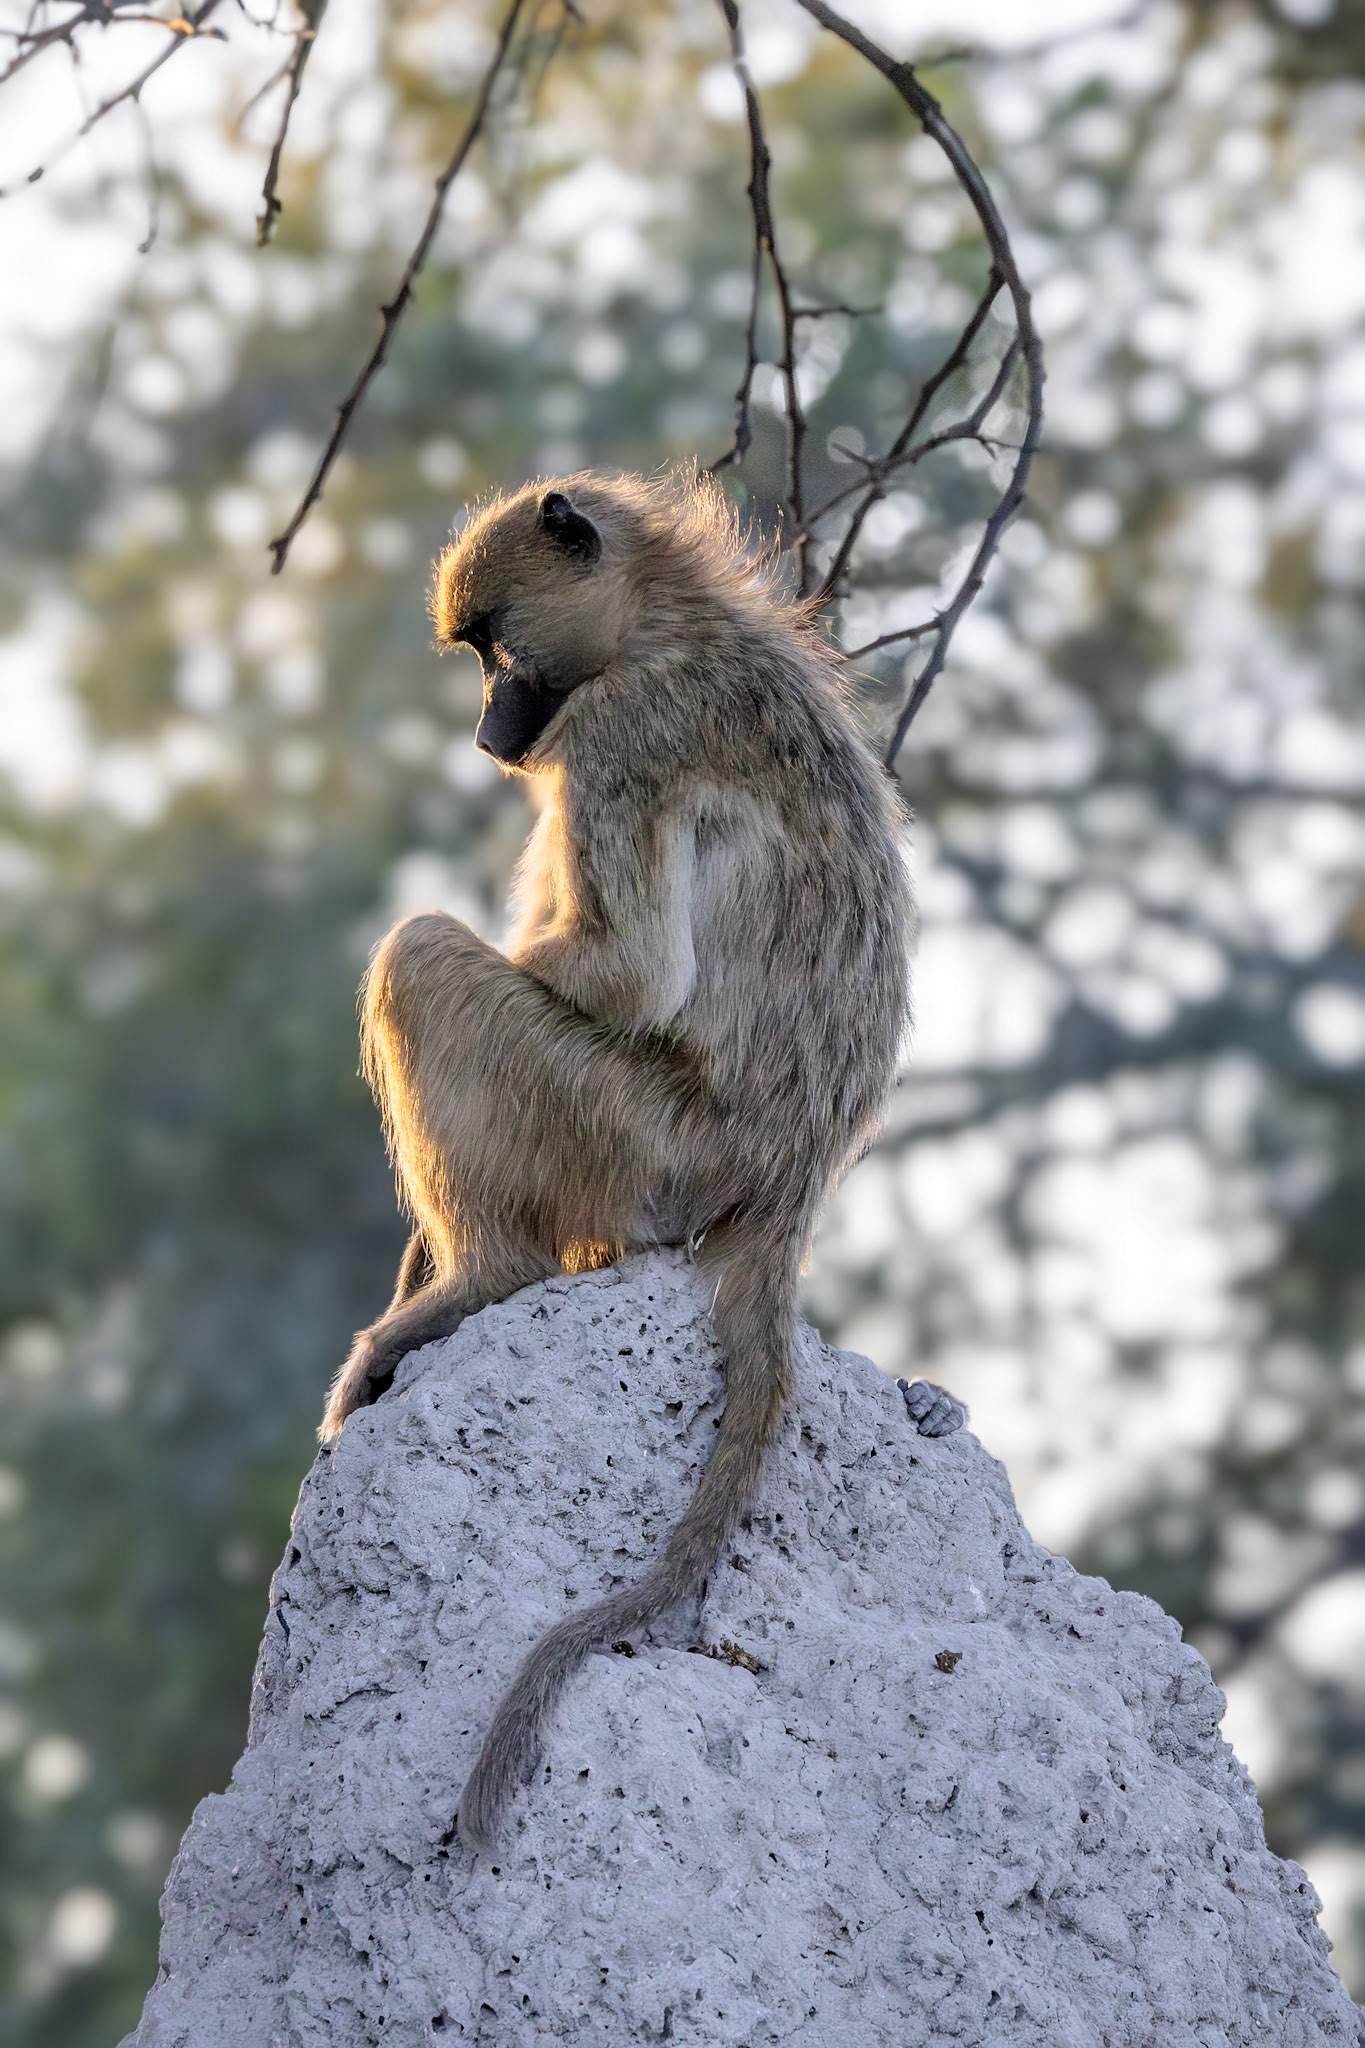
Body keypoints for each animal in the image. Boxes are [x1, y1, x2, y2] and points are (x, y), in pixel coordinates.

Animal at [319, 468, 962, 1847]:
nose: (488, 735)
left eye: (494, 647)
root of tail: (785, 1189)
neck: (669, 615)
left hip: (626, 1141)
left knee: (419, 954)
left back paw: (482, 1280)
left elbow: (626, 974)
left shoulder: (619, 731)